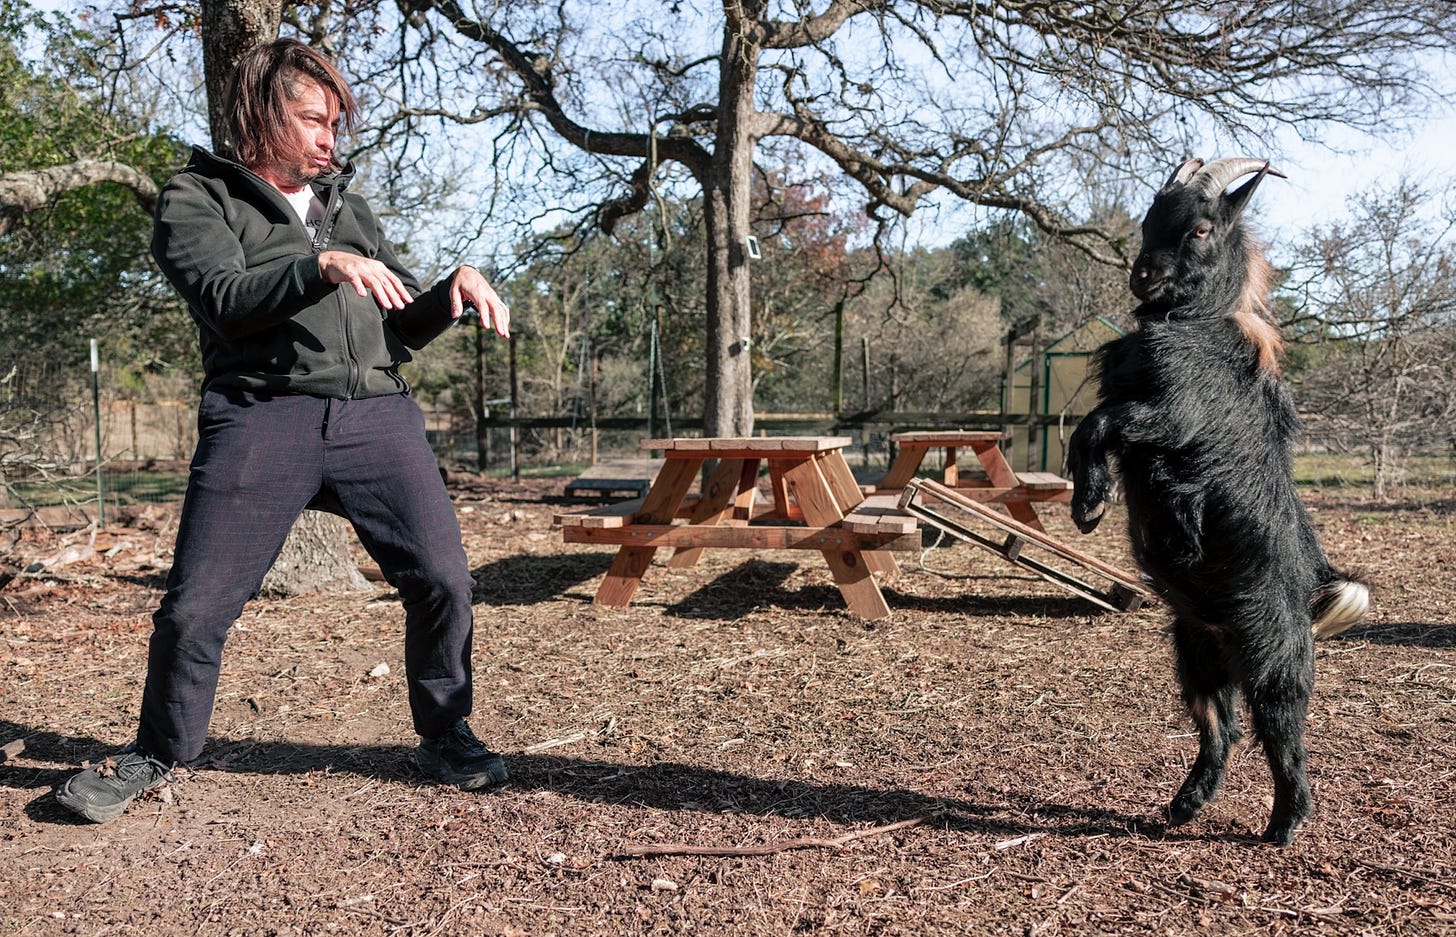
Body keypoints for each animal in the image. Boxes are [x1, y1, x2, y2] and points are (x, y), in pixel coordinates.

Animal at [1065, 155, 1368, 849]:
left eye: (1202, 229)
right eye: (1147, 222)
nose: (1143, 274)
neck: (1199, 324)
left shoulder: (1172, 414)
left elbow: (1097, 425)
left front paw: (1090, 505)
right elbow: (1088, 426)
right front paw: (1087, 503)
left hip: (1271, 652)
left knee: (1281, 729)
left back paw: (1285, 824)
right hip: (1195, 648)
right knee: (1220, 727)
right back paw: (1184, 805)